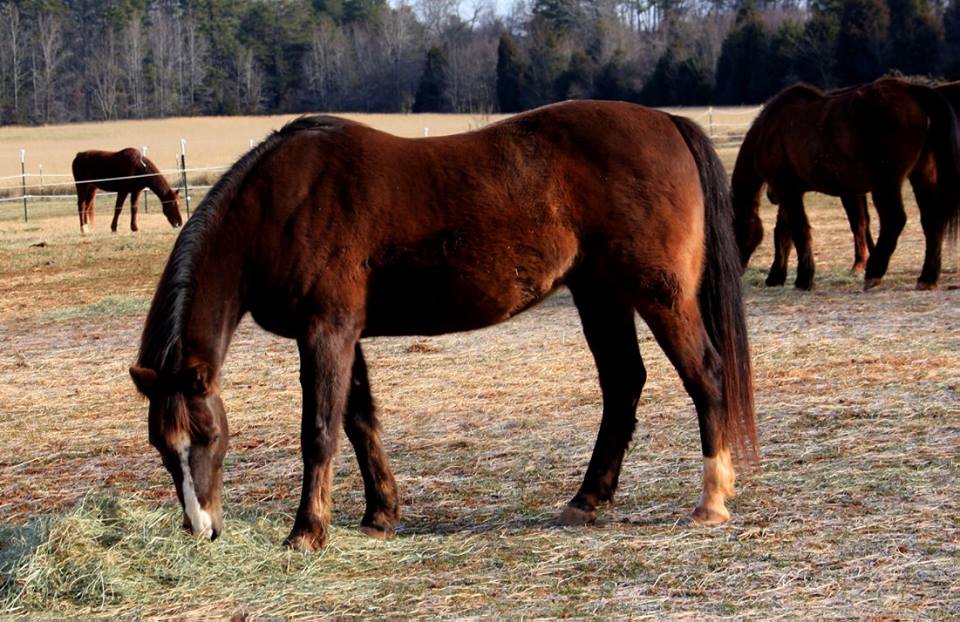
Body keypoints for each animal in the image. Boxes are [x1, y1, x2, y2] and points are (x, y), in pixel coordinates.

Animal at [128, 101, 757, 551]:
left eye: (207, 437)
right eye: (162, 445)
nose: (202, 529)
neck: (279, 205)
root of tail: (667, 122)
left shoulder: (326, 330)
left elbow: (321, 430)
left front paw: (306, 532)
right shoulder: (347, 334)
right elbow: (360, 421)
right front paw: (380, 514)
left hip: (658, 295)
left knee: (705, 375)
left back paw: (711, 501)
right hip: (599, 294)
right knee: (623, 383)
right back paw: (587, 499)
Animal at [732, 78, 960, 290]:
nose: (737, 270)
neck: (769, 130)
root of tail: (912, 91)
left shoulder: (786, 189)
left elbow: (798, 230)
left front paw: (804, 278)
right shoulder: (790, 191)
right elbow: (785, 232)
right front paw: (777, 276)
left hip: (886, 183)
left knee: (894, 220)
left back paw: (874, 272)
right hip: (922, 175)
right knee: (932, 221)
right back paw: (927, 277)